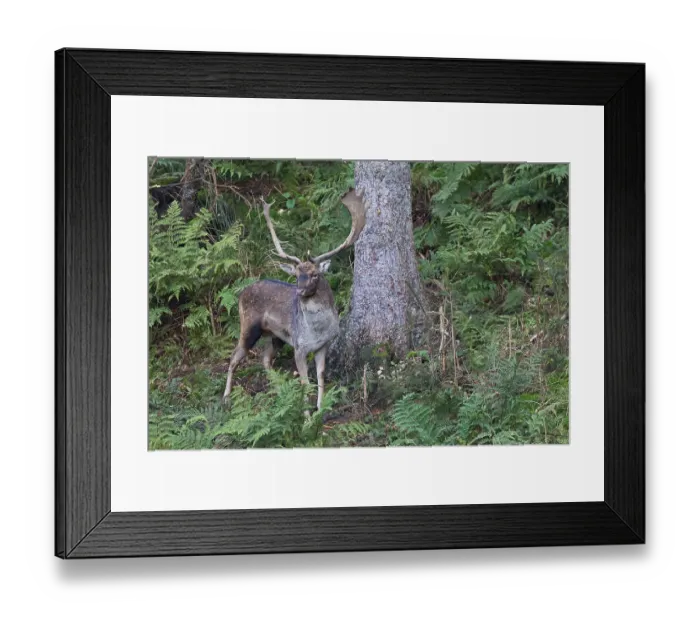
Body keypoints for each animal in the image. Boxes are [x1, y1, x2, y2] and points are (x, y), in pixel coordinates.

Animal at [223, 188, 367, 412]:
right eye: (297, 275)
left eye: (315, 274)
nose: (299, 291)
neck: (317, 331)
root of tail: (242, 292)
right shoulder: (299, 348)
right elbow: (305, 382)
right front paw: (307, 415)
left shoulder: (323, 345)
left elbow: (321, 376)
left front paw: (320, 408)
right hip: (249, 326)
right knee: (234, 356)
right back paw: (226, 397)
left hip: (276, 336)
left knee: (265, 359)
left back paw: (278, 387)